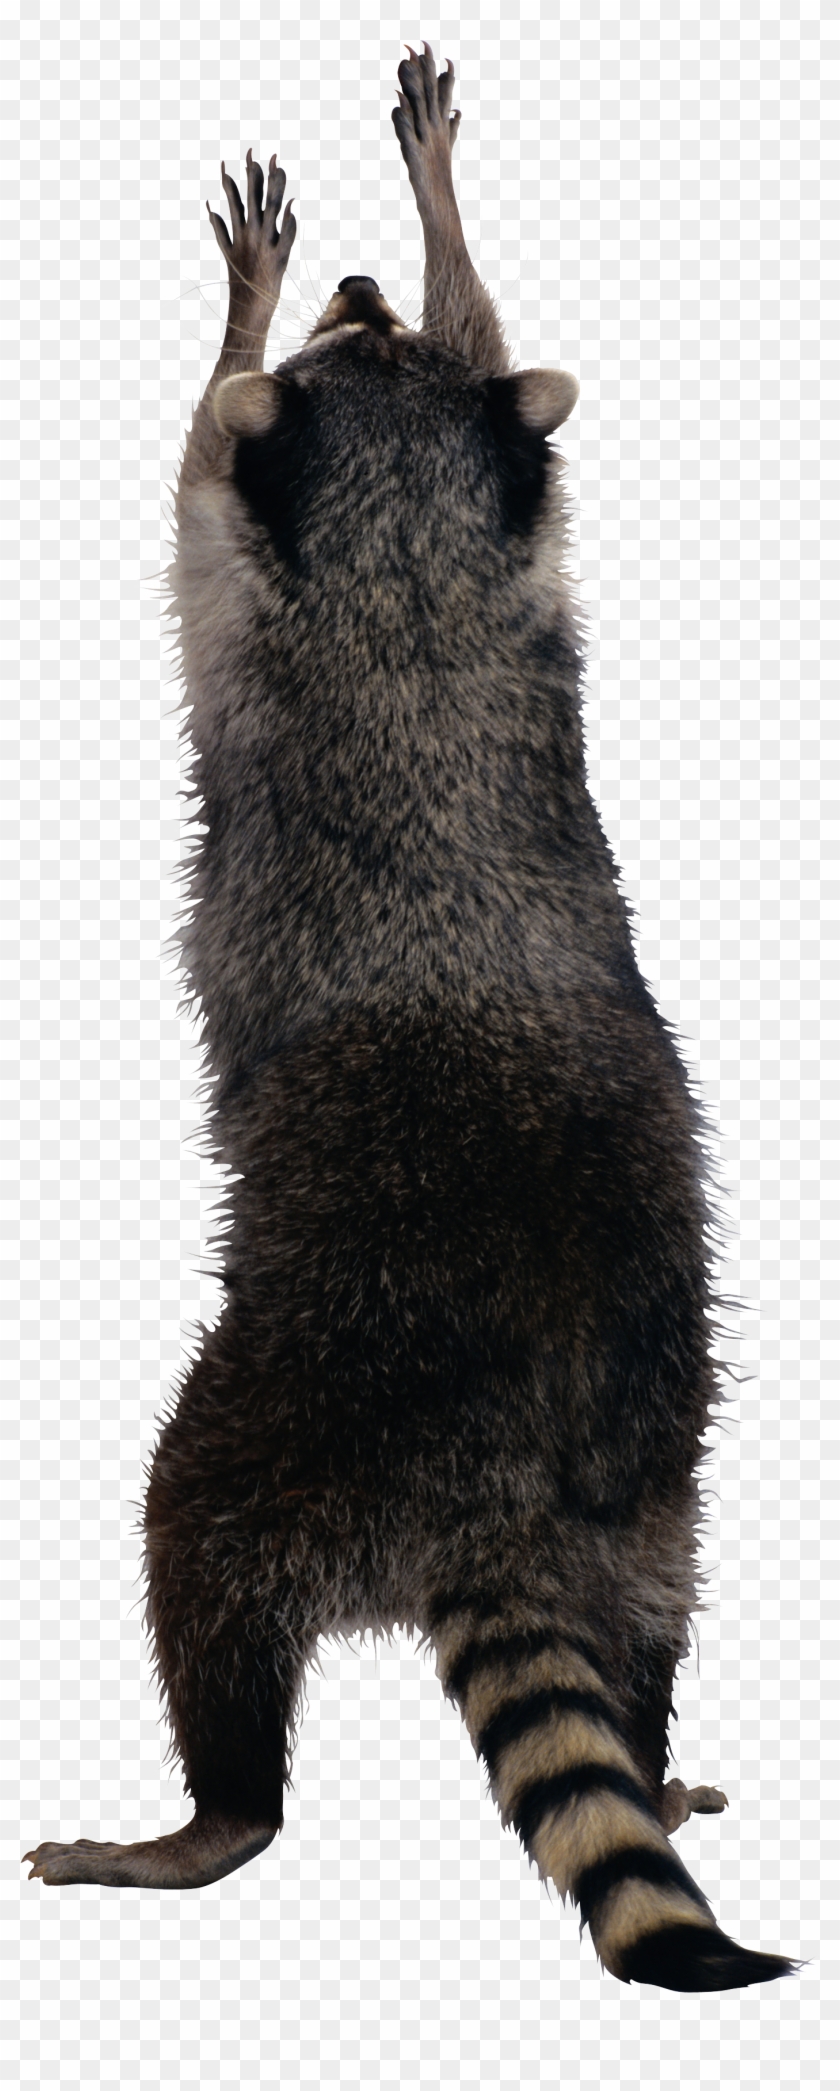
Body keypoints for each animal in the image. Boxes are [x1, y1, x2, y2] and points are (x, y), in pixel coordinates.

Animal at [24, 44, 794, 1994]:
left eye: (343, 345)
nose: (364, 282)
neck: (414, 553)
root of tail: (503, 1476)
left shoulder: (239, 568)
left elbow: (189, 451)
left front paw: (261, 294)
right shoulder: (527, 557)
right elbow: (517, 370)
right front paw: (439, 233)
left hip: (300, 1394)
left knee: (196, 1543)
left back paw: (211, 1811)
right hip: (656, 1468)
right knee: (648, 1619)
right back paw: (648, 1754)